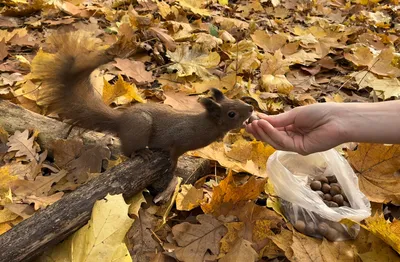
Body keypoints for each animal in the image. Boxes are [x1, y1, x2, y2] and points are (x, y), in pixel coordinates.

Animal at [33, 31, 253, 165]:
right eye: (231, 113)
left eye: (238, 101)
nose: (251, 109)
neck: (205, 124)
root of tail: (121, 120)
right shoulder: (179, 138)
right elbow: (174, 153)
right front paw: (173, 165)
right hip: (140, 127)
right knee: (128, 150)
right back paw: (141, 152)